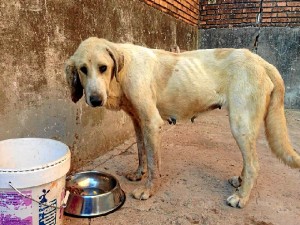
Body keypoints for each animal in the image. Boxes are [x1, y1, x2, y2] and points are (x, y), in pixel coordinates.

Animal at [65, 37, 300, 207]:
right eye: (83, 69)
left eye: (103, 67)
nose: (95, 100)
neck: (123, 70)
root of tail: (261, 60)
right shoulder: (138, 121)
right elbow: (141, 152)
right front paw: (138, 173)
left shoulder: (152, 123)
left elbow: (153, 163)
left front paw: (148, 190)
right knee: (248, 159)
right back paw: (240, 183)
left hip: (240, 124)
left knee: (254, 165)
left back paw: (241, 197)